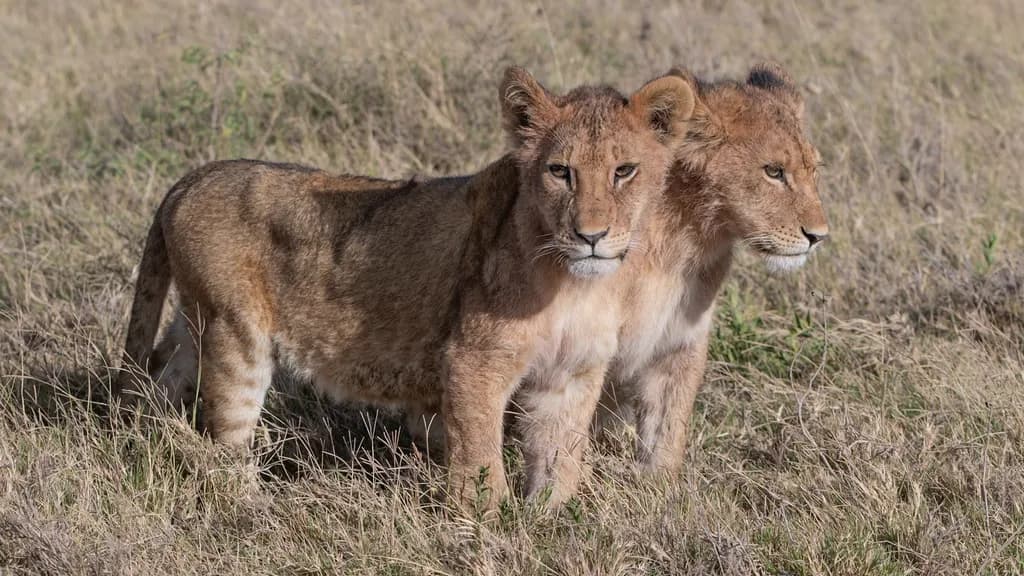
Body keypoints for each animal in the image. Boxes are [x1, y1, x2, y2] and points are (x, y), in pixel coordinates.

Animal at [118, 66, 696, 508]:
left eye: (624, 171)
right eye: (560, 171)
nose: (590, 236)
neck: (573, 286)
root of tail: (192, 177)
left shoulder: (571, 375)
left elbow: (560, 460)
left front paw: (549, 524)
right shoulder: (472, 363)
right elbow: (480, 460)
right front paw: (486, 530)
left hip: (196, 322)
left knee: (160, 377)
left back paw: (144, 439)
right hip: (235, 334)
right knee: (226, 441)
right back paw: (249, 509)